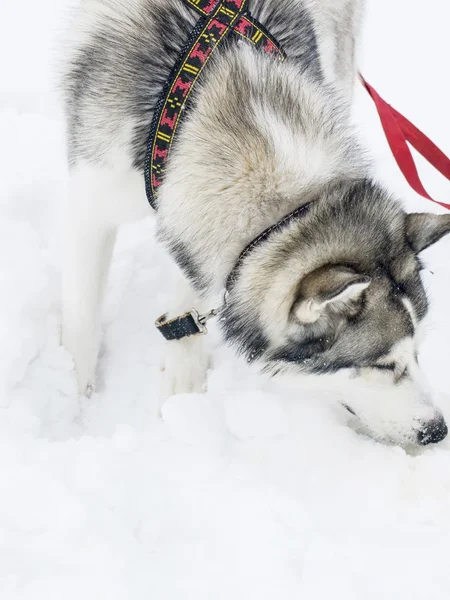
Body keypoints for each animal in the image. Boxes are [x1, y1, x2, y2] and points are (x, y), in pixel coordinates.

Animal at [61, 0, 450, 446]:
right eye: (382, 364)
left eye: (418, 349)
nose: (438, 430)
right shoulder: (93, 200)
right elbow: (82, 318)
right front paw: (76, 398)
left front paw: (181, 380)